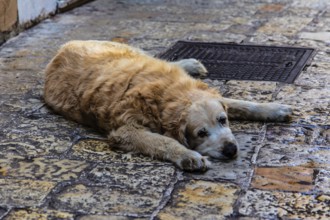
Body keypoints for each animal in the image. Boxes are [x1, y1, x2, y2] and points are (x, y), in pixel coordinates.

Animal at [43, 41, 292, 172]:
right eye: (201, 133)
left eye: (223, 120)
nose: (230, 150)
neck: (167, 92)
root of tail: (65, 46)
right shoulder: (125, 130)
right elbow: (163, 141)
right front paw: (188, 155)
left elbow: (239, 103)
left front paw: (273, 109)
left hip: (132, 51)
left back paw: (189, 63)